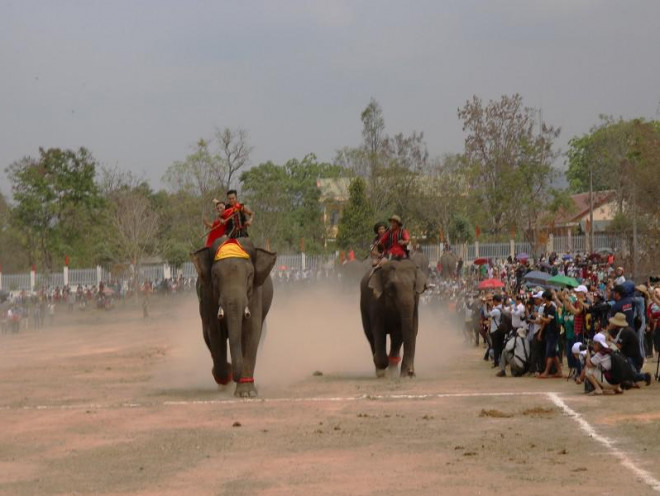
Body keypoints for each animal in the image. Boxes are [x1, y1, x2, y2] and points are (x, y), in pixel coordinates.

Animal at [191, 237, 276, 400]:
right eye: (215, 276)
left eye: (250, 275)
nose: (235, 377)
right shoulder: (208, 296)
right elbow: (215, 333)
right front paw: (227, 375)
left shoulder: (255, 293)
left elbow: (251, 331)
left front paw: (246, 393)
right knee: (208, 337)